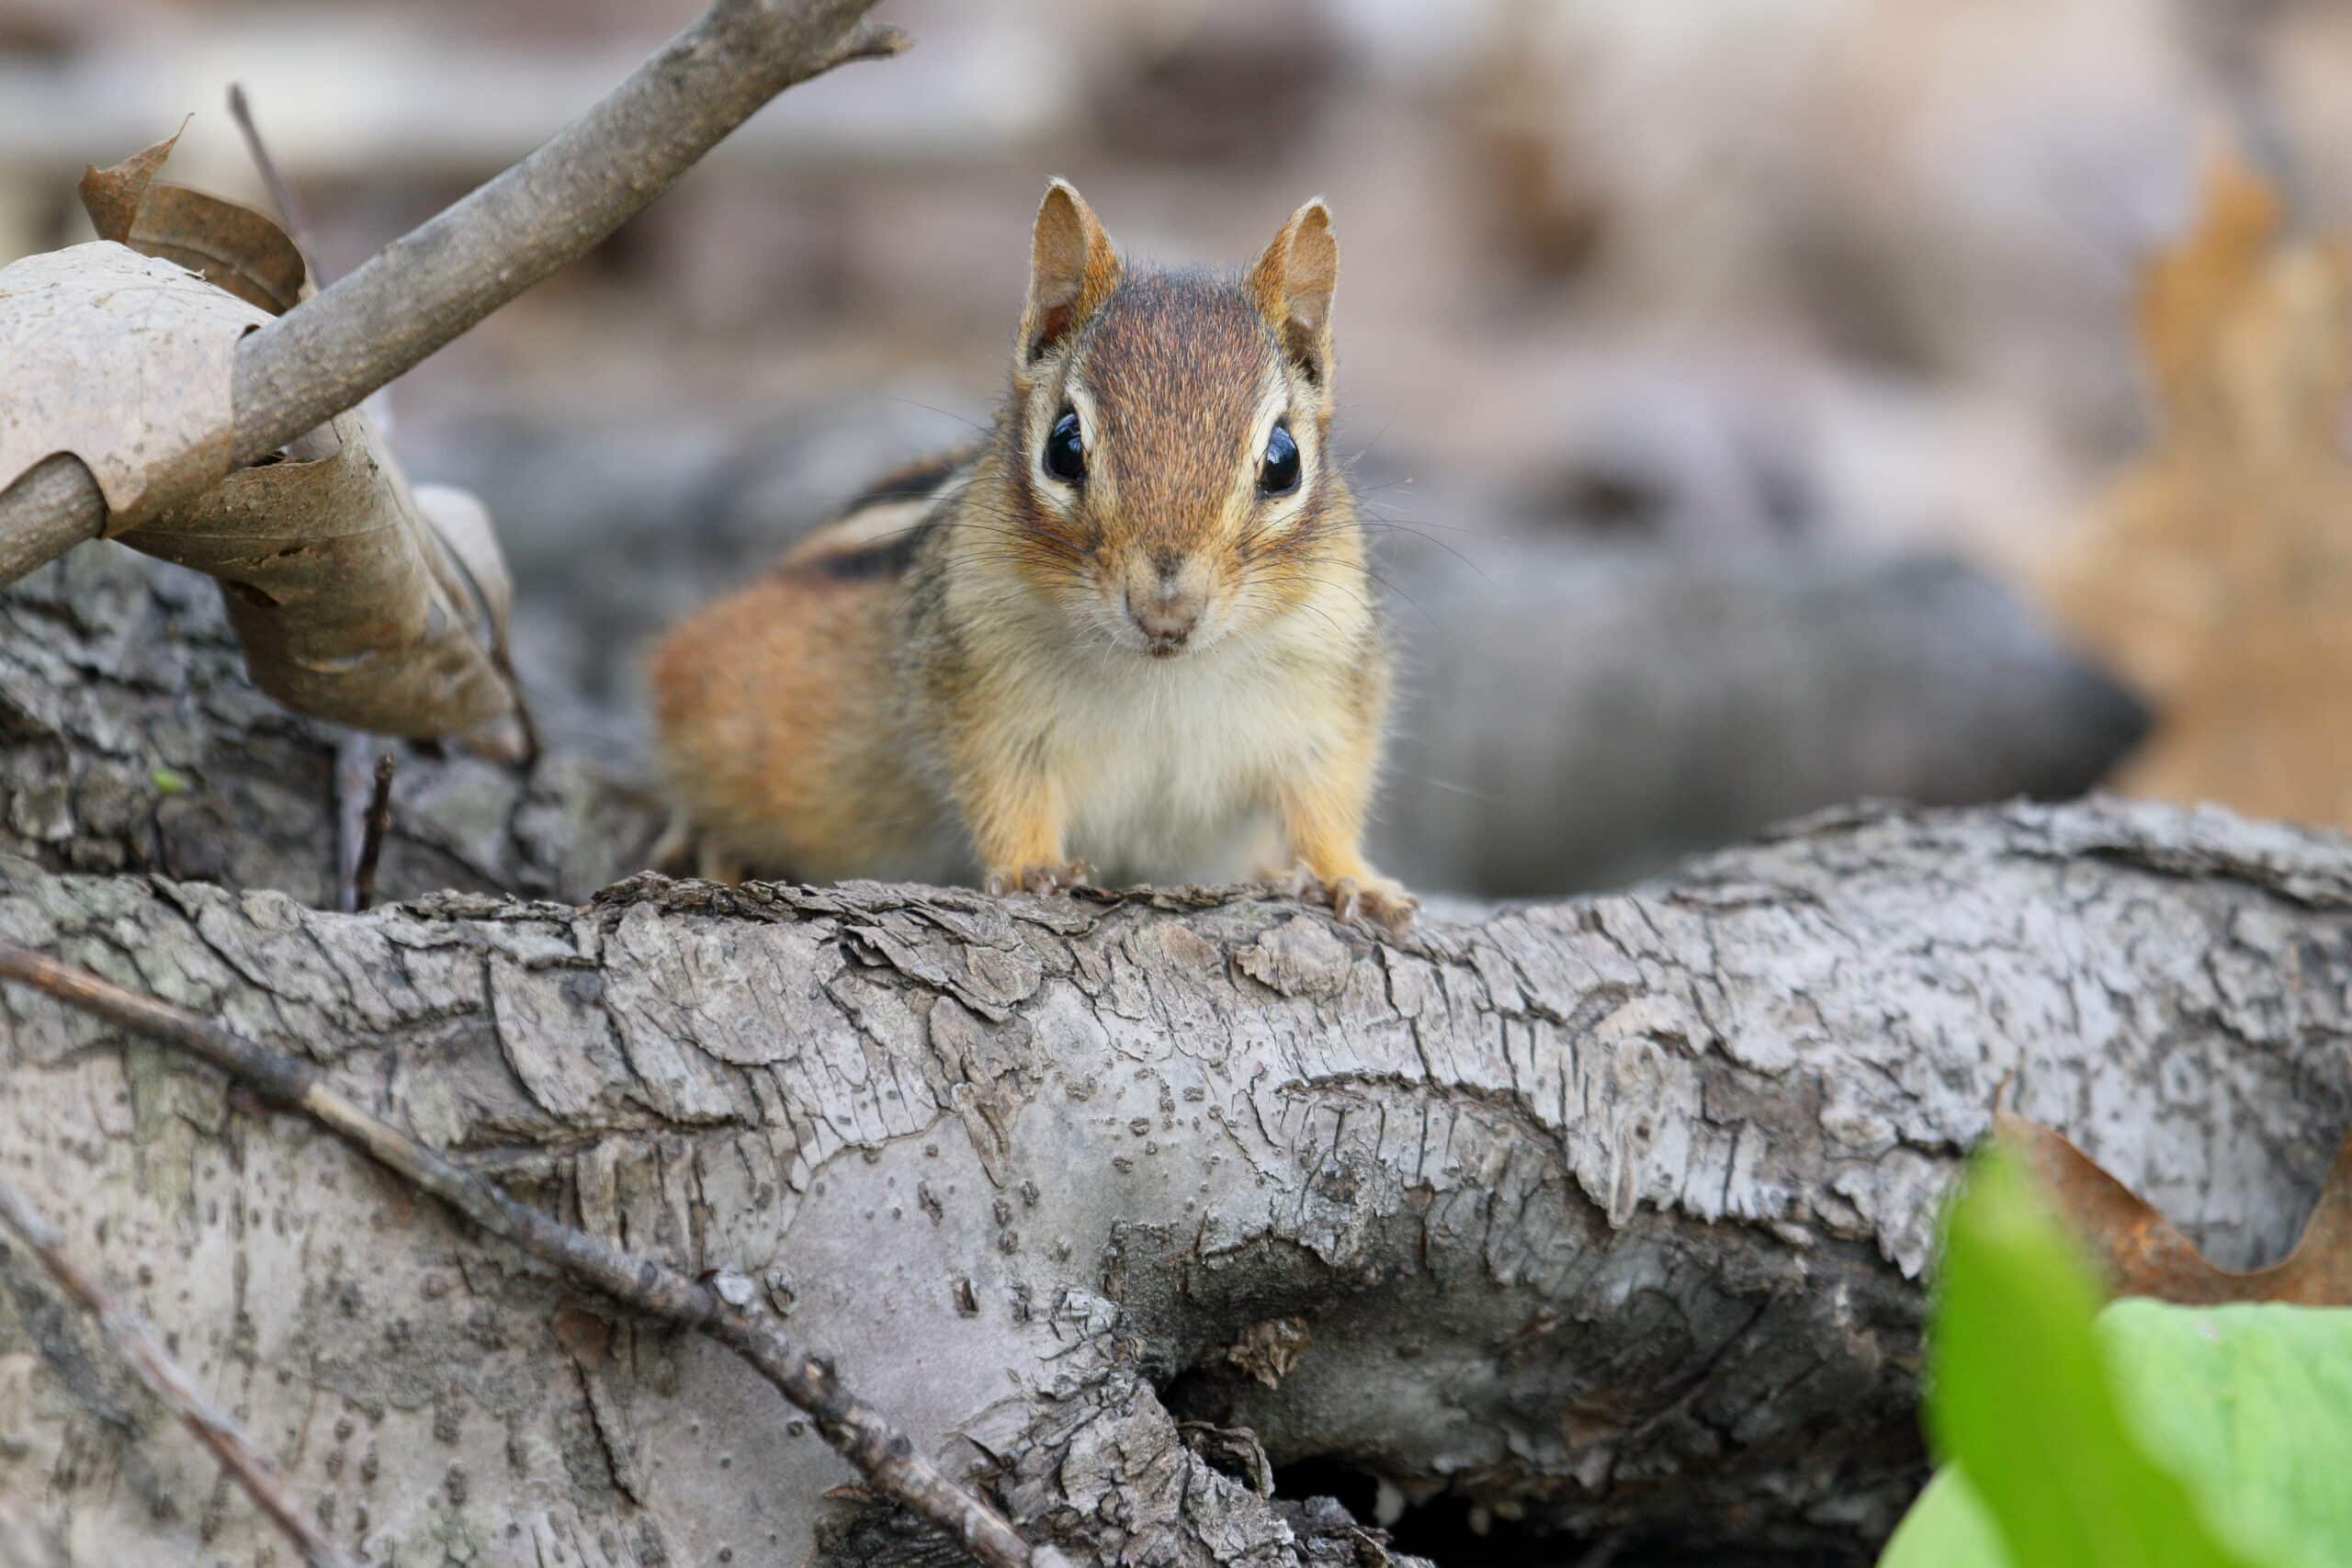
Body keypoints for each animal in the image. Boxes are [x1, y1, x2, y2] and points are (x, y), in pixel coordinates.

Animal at [649, 181, 1414, 932]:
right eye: (1064, 447)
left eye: (1284, 463)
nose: (1166, 611)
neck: (1164, 676)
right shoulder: (984, 690)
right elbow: (1004, 791)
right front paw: (1031, 868)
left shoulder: (1326, 692)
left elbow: (1328, 800)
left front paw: (1350, 876)